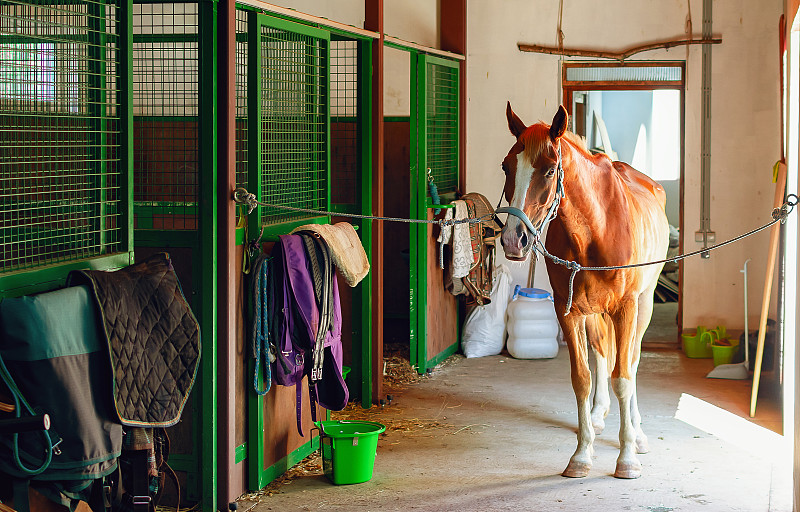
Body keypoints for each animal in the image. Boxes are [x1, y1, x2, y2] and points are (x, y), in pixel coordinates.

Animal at [500, 103, 668, 480]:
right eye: (506, 166)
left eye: (550, 171)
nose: (513, 239)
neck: (594, 229)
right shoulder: (570, 311)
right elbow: (583, 378)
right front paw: (581, 454)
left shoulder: (627, 307)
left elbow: (624, 376)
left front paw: (627, 458)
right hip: (594, 312)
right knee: (603, 352)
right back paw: (597, 415)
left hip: (644, 304)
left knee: (632, 360)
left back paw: (637, 432)